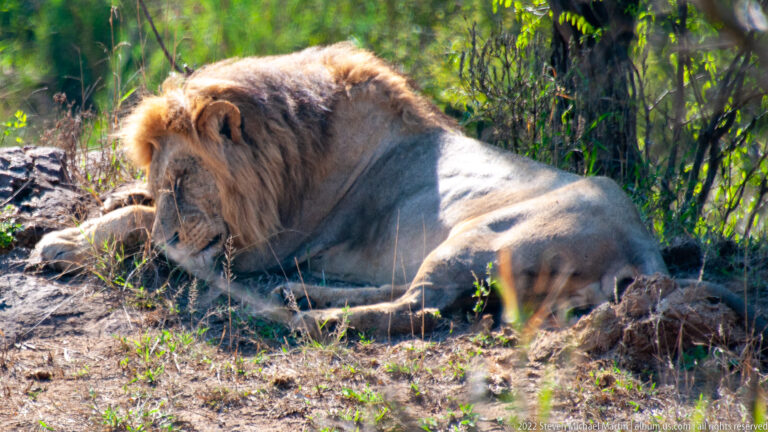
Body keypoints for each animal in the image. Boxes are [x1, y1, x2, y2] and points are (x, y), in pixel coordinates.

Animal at [31, 43, 670, 335]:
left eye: (184, 180)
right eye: (159, 176)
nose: (173, 238)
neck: (292, 145)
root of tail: (645, 251)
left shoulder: (268, 243)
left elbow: (139, 225)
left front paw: (66, 240)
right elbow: (132, 206)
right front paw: (117, 199)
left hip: (481, 236)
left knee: (418, 307)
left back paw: (309, 320)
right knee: (407, 290)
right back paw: (303, 295)